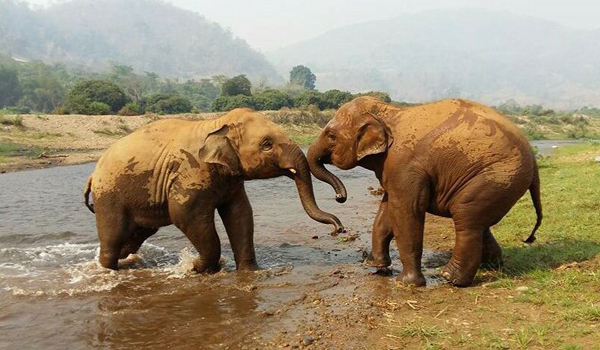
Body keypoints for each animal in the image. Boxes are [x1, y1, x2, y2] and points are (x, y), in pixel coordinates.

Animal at [86, 108, 344, 272]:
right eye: (267, 145)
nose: (338, 229)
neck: (216, 124)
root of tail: (93, 173)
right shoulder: (190, 173)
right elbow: (184, 215)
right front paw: (197, 267)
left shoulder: (231, 180)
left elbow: (241, 214)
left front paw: (250, 272)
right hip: (109, 196)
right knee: (113, 236)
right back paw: (109, 269)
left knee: (138, 234)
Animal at [308, 96, 540, 288]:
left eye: (330, 136)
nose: (340, 197)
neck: (387, 113)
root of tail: (533, 158)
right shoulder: (392, 168)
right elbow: (387, 211)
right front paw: (373, 265)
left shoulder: (404, 166)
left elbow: (406, 211)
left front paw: (406, 283)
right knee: (479, 221)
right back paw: (491, 266)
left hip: (496, 176)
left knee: (466, 218)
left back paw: (450, 278)